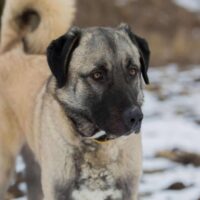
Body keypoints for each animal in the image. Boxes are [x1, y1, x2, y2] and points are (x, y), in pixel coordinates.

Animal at [0, 23, 150, 200]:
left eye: (133, 71)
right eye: (97, 75)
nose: (136, 117)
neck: (97, 144)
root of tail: (10, 52)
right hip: (5, 166)